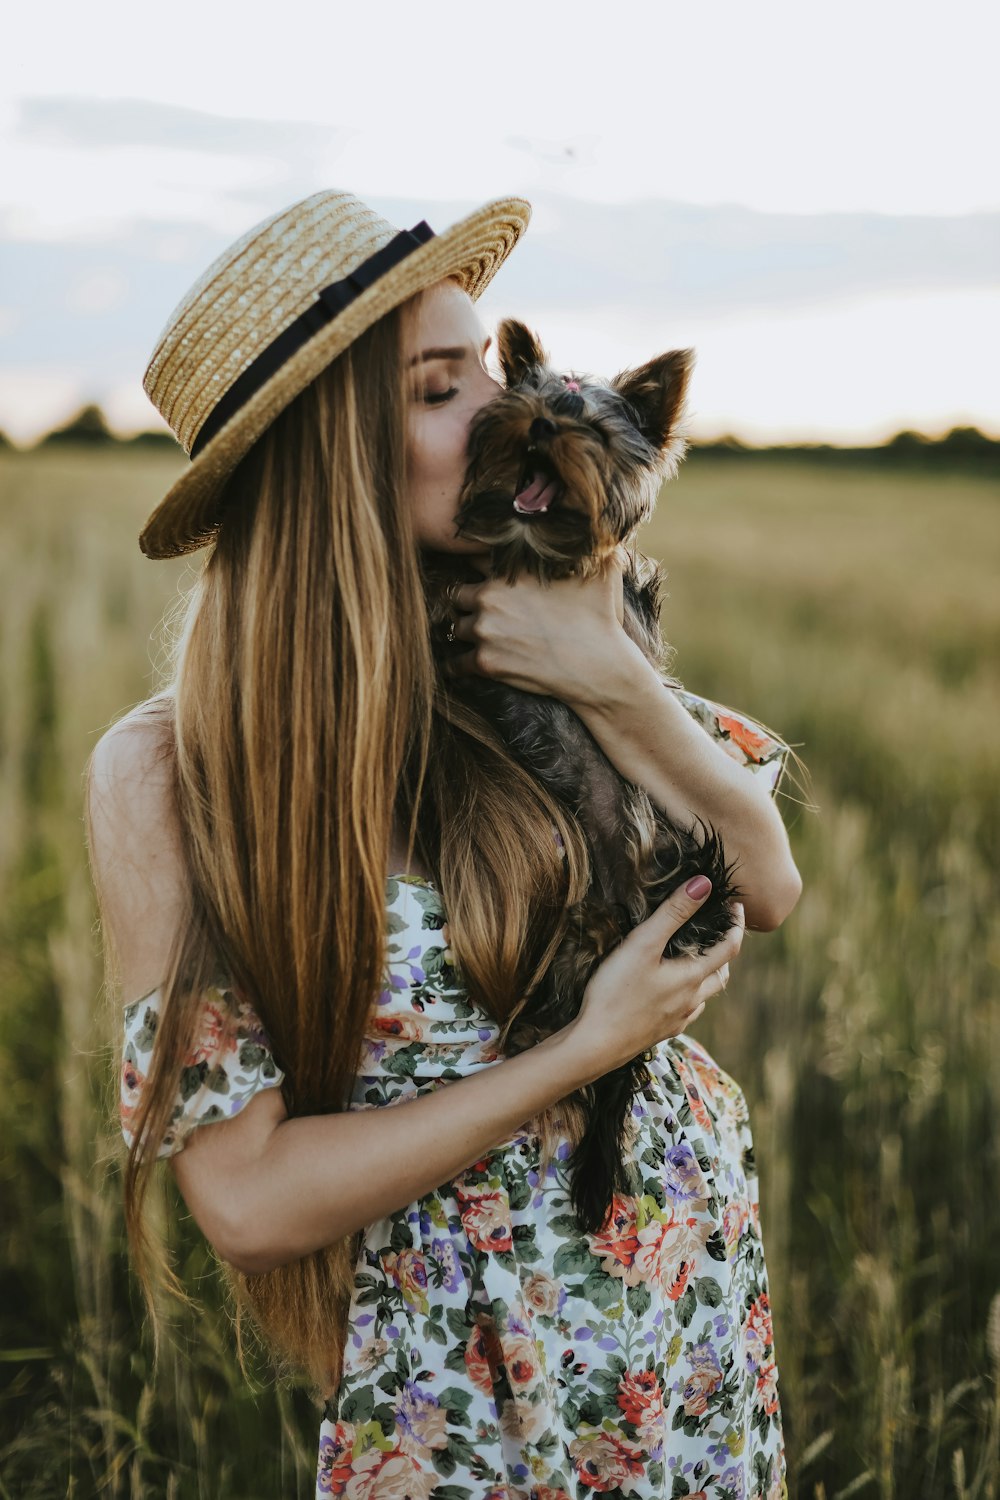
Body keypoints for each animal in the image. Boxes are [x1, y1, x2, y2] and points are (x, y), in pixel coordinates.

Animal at [425, 322, 740, 1236]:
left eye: (590, 432)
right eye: (526, 406)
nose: (540, 430)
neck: (530, 552)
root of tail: (617, 905)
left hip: (669, 907)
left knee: (613, 1072)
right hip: (577, 937)